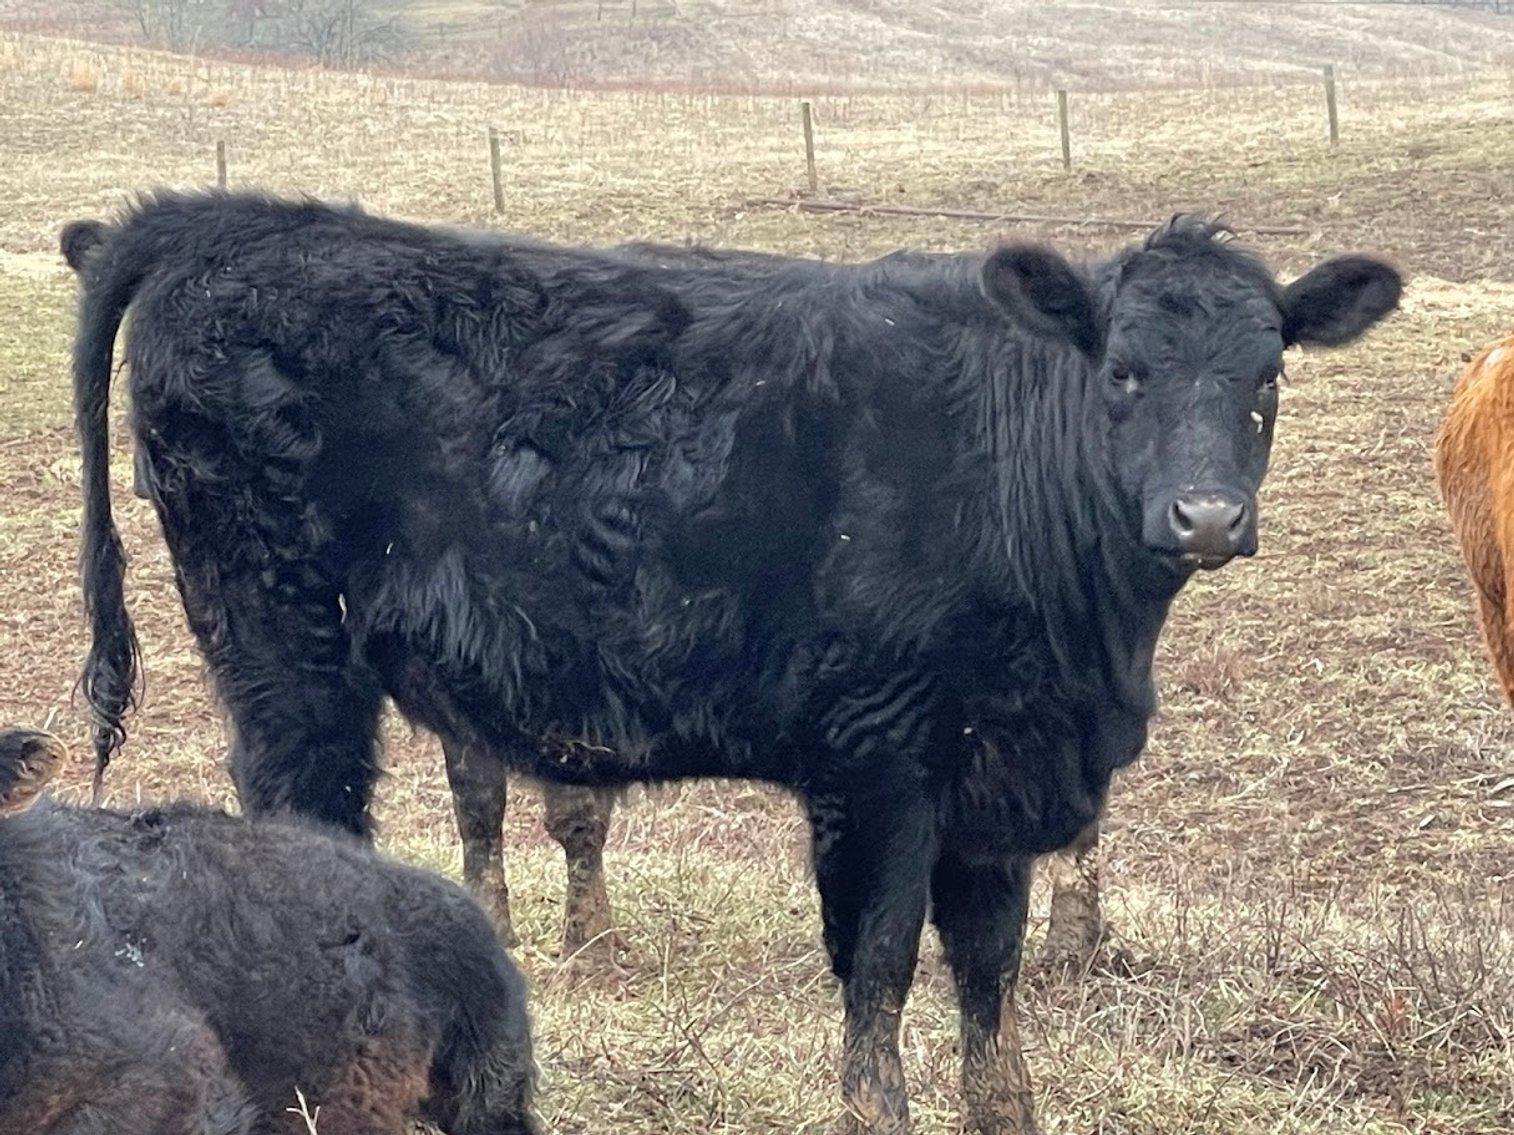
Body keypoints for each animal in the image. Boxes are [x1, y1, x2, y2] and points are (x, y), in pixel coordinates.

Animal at [65, 190, 1401, 1134]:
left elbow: (988, 985)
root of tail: (239, 219)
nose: (1204, 517)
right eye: (1119, 372)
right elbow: (876, 981)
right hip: (285, 653)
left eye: (1266, 375)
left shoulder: (996, 780)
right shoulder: (874, 766)